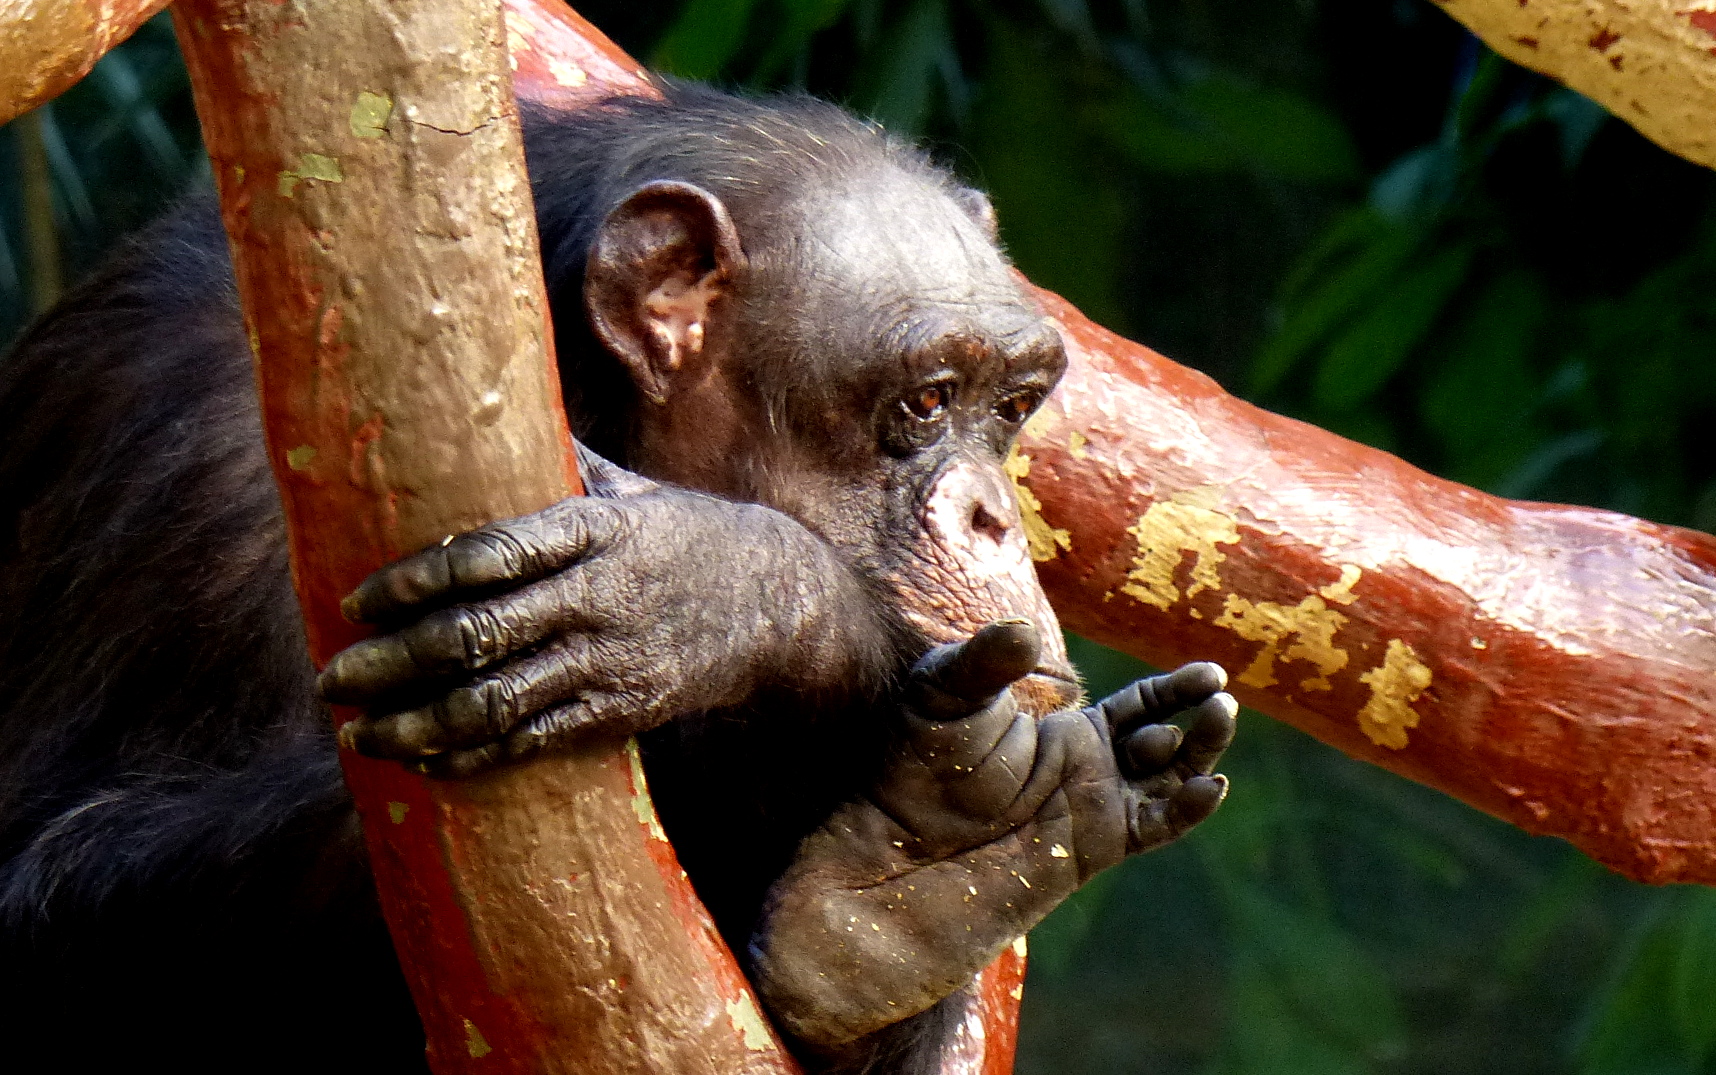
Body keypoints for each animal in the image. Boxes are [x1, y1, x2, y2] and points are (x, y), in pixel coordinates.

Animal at [0, 85, 1235, 1071]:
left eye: (1011, 407)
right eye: (926, 401)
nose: (992, 516)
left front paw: (703, 604)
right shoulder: (197, 470)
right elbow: (53, 886)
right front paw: (753, 594)